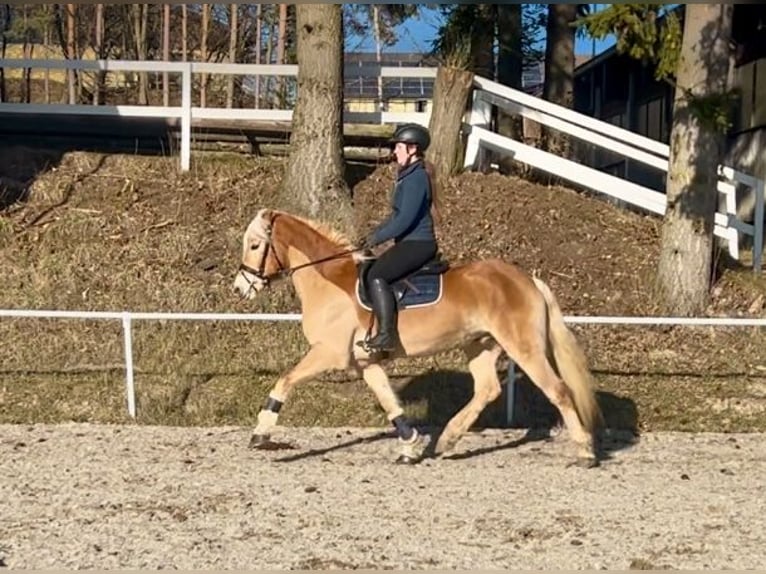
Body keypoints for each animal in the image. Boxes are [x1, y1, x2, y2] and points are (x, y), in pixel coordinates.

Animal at [232, 207, 608, 468]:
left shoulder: (328, 352)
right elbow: (390, 402)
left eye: (255, 244)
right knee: (487, 390)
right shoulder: (365, 362)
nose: (240, 289)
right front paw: (411, 447)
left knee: (558, 390)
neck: (329, 281)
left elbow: (285, 380)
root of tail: (528, 279)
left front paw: (261, 433)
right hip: (480, 345)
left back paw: (585, 452)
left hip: (524, 348)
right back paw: (448, 440)